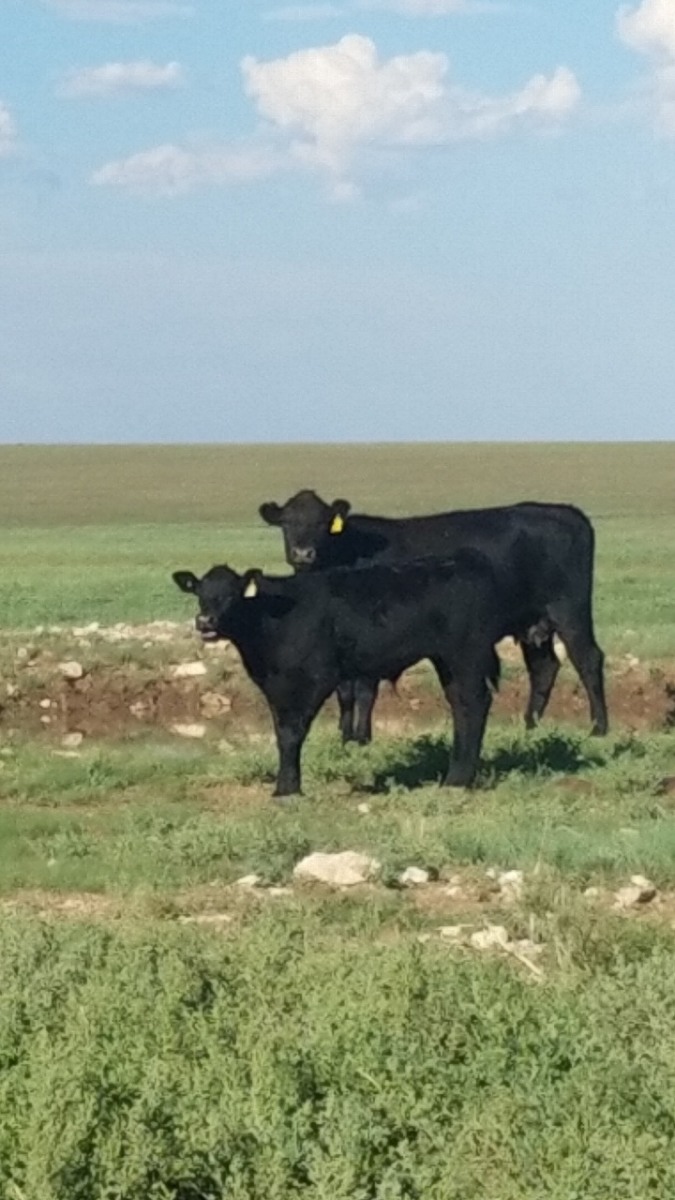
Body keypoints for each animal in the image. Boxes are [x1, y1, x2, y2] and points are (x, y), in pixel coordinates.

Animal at [172, 552, 522, 797]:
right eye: (200, 592)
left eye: (232, 594)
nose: (205, 621)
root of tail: (467, 559)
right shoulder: (275, 686)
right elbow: (281, 732)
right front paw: (284, 785)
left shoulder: (316, 678)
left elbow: (293, 732)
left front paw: (289, 790)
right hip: (446, 660)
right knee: (460, 705)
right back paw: (456, 776)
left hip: (466, 655)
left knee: (474, 704)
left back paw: (458, 780)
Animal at [259, 489, 607, 744]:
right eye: (287, 523)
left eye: (321, 524)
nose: (303, 553)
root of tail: (565, 511)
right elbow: (344, 691)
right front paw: (345, 737)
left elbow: (364, 691)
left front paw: (361, 737)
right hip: (533, 623)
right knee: (544, 668)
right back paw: (530, 727)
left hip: (569, 610)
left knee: (588, 660)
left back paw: (599, 728)